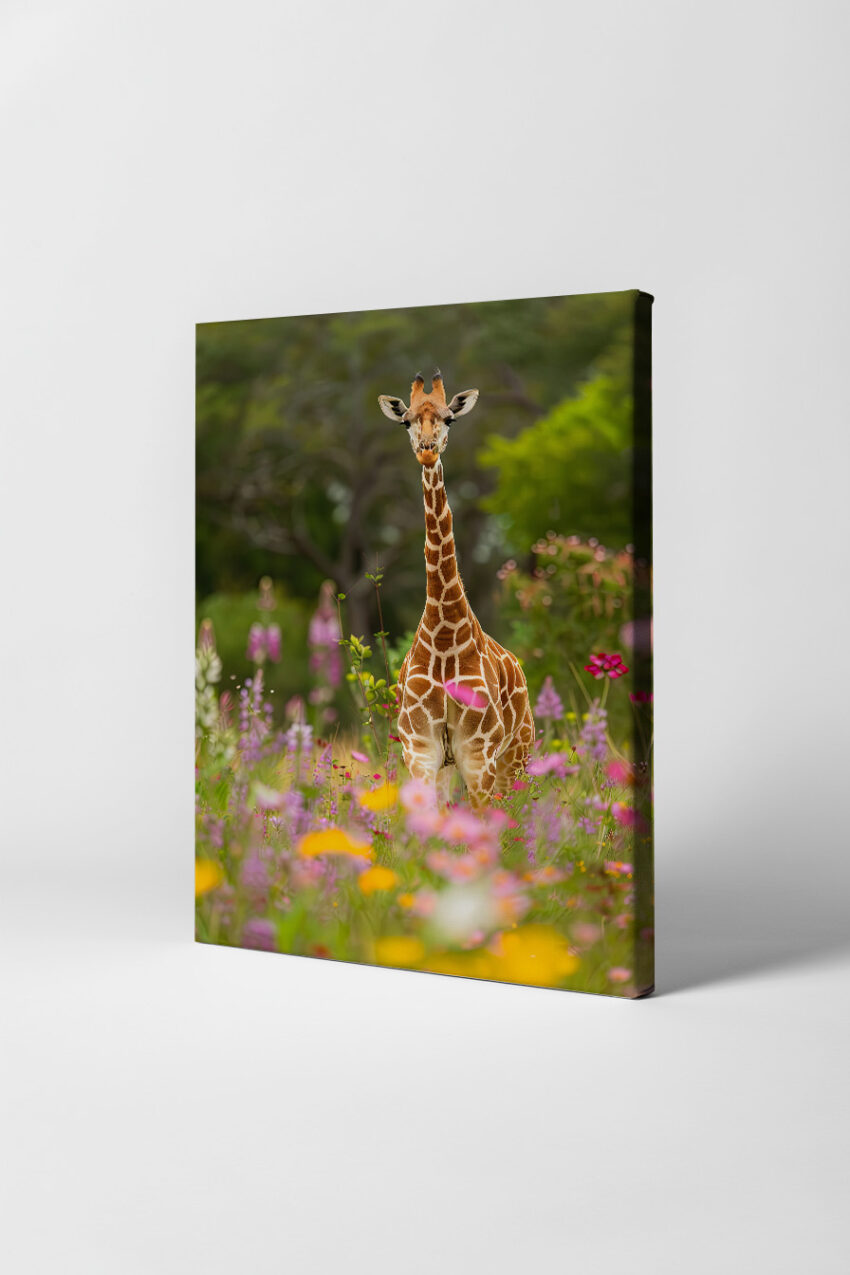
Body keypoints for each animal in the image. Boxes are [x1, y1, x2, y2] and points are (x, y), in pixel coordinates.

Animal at [378, 369, 534, 807]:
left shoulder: (478, 753)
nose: (428, 451)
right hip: (457, 768)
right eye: (406, 420)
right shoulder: (420, 750)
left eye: (449, 418)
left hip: (516, 758)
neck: (444, 627)